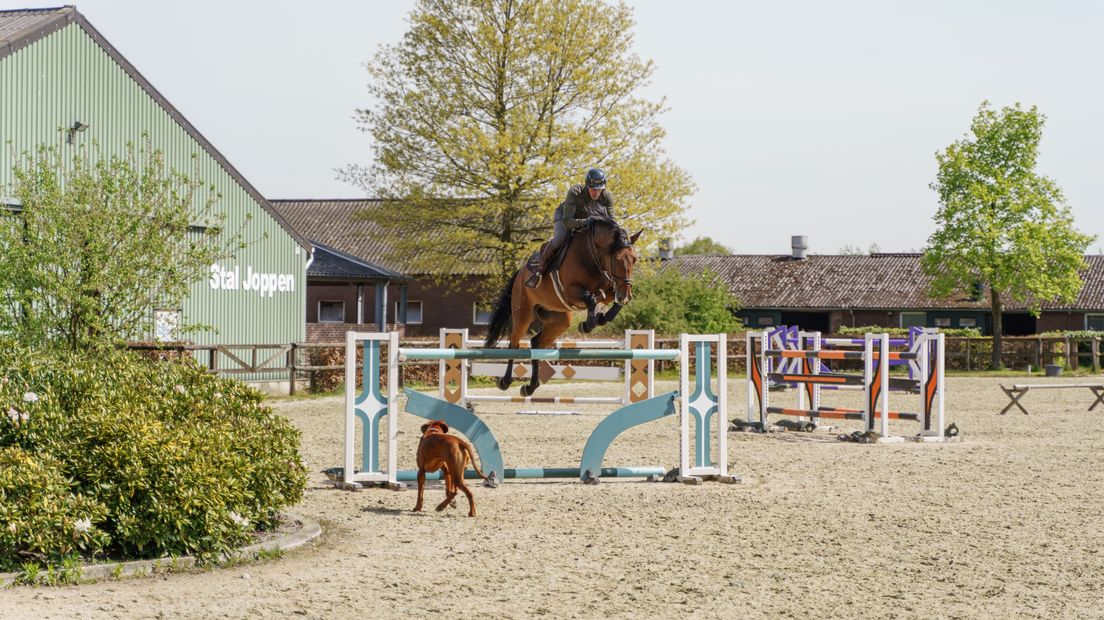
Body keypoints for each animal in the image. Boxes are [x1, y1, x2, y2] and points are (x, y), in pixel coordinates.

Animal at [482, 217, 642, 397]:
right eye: (618, 259)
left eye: (634, 259)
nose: (626, 296)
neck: (593, 257)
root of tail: (520, 273)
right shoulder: (570, 292)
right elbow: (591, 299)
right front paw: (587, 324)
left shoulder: (611, 288)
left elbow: (610, 301)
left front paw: (600, 318)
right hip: (523, 314)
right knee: (514, 343)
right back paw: (505, 381)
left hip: (559, 322)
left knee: (536, 343)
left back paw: (530, 387)